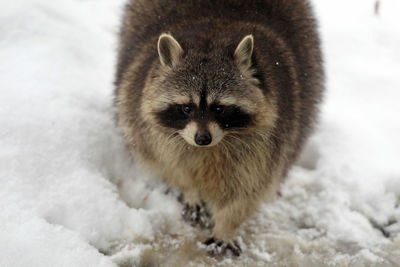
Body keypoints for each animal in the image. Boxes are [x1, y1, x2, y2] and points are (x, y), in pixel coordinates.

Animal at [114, 0, 324, 256]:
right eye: (186, 108)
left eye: (220, 109)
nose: (202, 138)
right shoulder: (142, 121)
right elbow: (166, 163)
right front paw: (188, 188)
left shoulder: (273, 136)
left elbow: (250, 187)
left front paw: (227, 224)